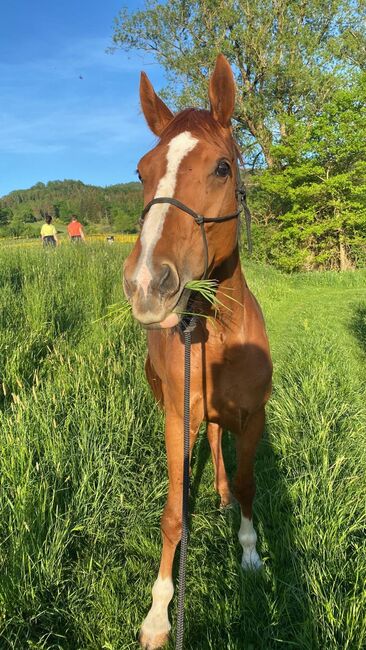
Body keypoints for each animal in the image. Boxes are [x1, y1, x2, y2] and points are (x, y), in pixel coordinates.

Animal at [123, 54, 272, 648]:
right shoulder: (175, 418)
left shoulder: (252, 417)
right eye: (142, 171)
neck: (221, 336)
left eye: (223, 168)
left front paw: (250, 555)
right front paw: (159, 615)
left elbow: (251, 483)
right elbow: (172, 514)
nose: (146, 283)